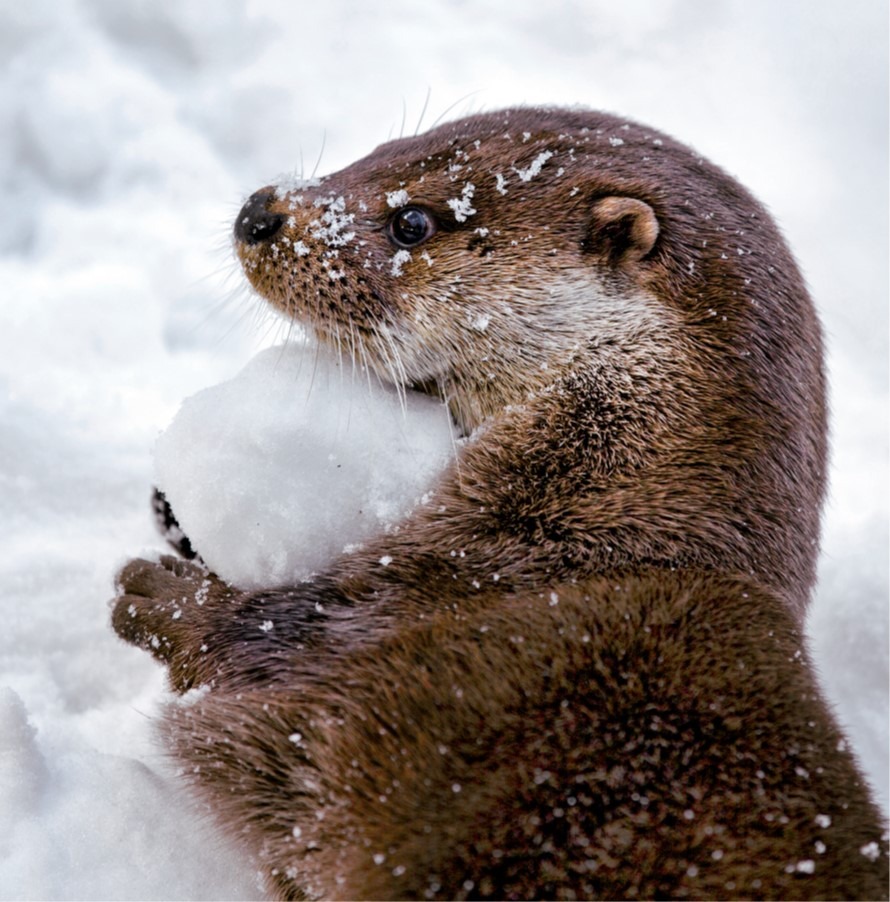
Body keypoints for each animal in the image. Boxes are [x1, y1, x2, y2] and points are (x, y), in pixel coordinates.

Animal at [112, 106, 887, 900]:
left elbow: (272, 637)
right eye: (380, 149)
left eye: (413, 222)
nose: (259, 212)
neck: (603, 536)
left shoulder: (412, 605)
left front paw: (165, 595)